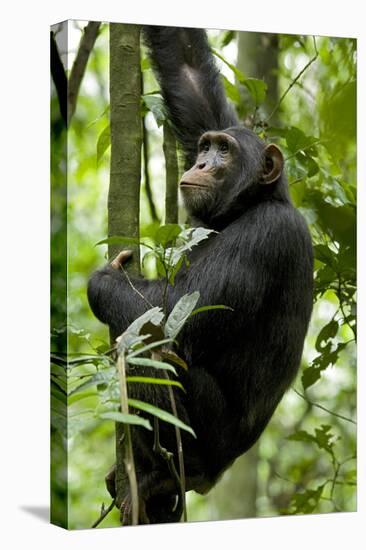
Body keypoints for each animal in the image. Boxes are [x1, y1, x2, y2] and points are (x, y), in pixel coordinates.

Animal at [87, 25, 314, 528]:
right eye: (208, 144)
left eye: (225, 152)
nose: (202, 162)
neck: (249, 205)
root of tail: (217, 474)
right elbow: (187, 67)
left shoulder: (267, 234)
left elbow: (178, 313)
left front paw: (105, 282)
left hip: (206, 440)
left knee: (146, 349)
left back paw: (166, 475)